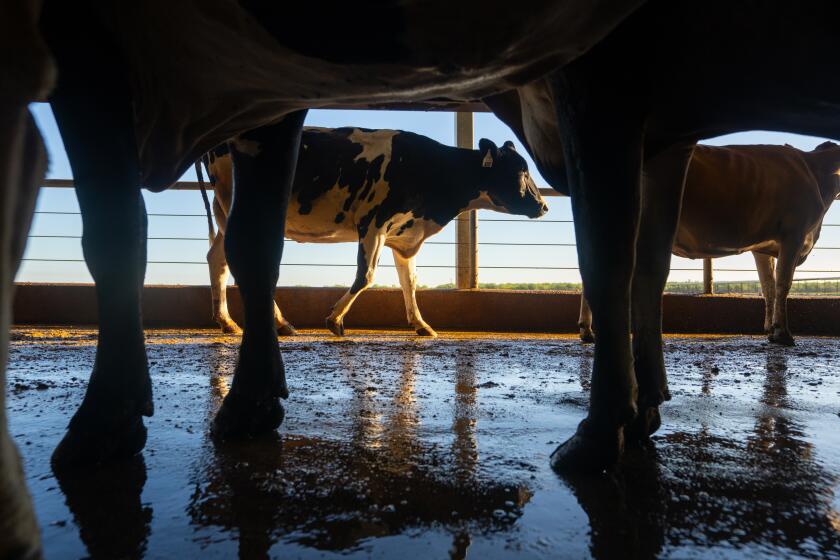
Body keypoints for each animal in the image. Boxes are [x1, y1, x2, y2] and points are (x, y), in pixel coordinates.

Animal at [205, 127, 552, 336]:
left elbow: (410, 282)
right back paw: (278, 322)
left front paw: (421, 324)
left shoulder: (404, 234)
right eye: (521, 171)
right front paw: (334, 319)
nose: (544, 206)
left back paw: (229, 322)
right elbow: (366, 276)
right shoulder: (373, 222)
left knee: (217, 259)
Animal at [576, 143, 840, 346]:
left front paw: (770, 331)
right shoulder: (794, 235)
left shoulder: (763, 246)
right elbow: (783, 285)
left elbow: (768, 286)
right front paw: (783, 334)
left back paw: (588, 331)